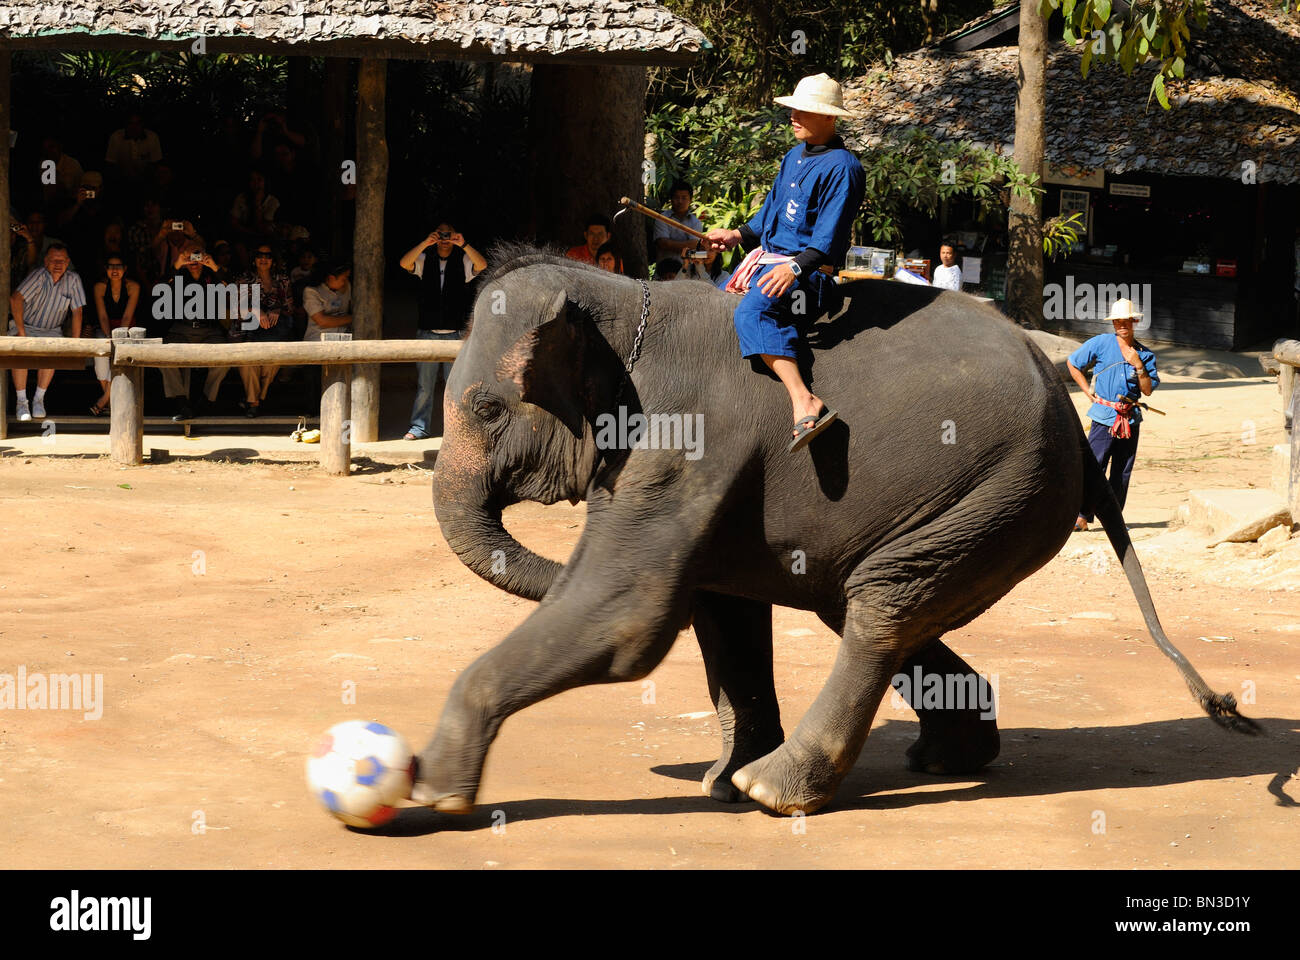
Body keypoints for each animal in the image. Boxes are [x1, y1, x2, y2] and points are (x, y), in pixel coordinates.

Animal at [413, 245, 1257, 818]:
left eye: (488, 408)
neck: (619, 297)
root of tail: (1065, 403)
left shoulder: (684, 445)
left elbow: (631, 616)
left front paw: (431, 789)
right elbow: (719, 610)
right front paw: (716, 785)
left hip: (1000, 487)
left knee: (880, 605)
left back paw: (777, 790)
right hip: (985, 502)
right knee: (868, 602)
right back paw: (941, 757)